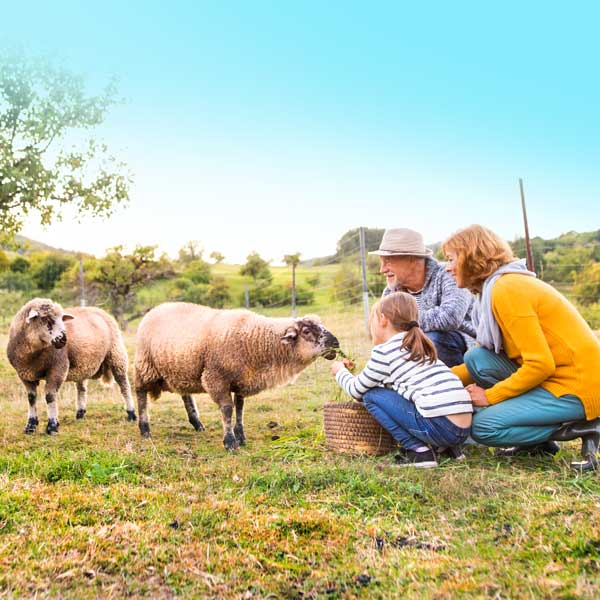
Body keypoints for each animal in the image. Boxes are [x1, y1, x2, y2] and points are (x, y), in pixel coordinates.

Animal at [5, 298, 137, 434]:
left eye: (61, 319)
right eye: (45, 319)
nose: (63, 340)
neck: (34, 354)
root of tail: (99, 309)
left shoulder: (57, 369)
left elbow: (50, 396)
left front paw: (52, 426)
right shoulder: (25, 374)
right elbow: (31, 398)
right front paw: (30, 426)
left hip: (117, 355)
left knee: (124, 386)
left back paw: (131, 414)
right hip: (83, 364)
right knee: (82, 389)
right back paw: (80, 414)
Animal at [134, 302, 340, 448]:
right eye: (306, 331)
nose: (336, 343)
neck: (255, 341)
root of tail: (155, 309)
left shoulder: (241, 380)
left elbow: (240, 408)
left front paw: (241, 436)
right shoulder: (216, 378)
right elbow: (227, 409)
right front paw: (230, 441)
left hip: (181, 369)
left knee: (185, 394)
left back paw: (197, 423)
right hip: (145, 366)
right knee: (140, 394)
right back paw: (144, 429)